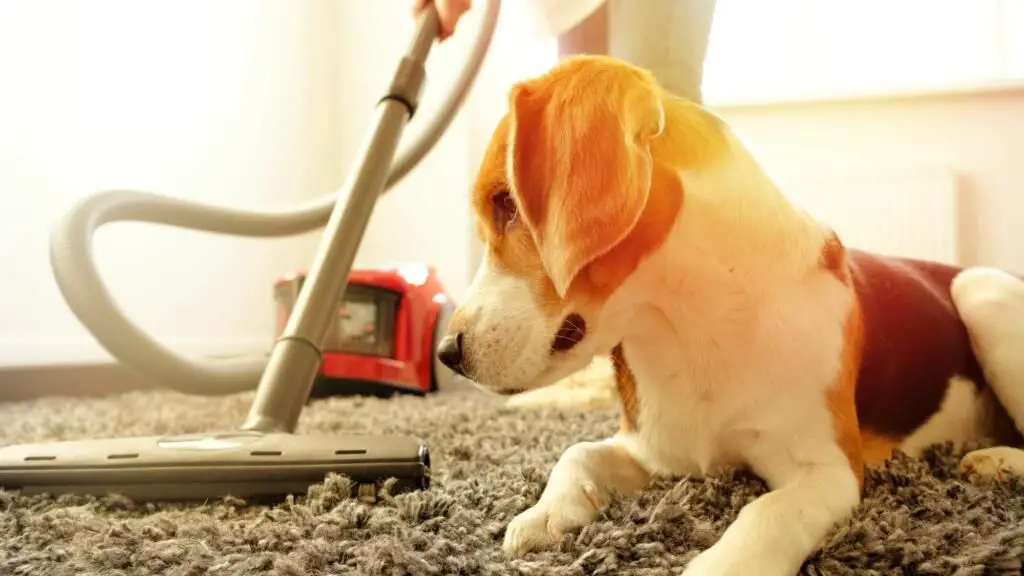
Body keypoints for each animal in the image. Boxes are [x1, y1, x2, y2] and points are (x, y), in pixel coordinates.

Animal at [434, 54, 1024, 573]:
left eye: (506, 203)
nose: (447, 352)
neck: (691, 323)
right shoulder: (653, 449)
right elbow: (577, 450)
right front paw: (546, 513)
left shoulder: (831, 469)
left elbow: (767, 512)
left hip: (981, 289)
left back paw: (997, 462)